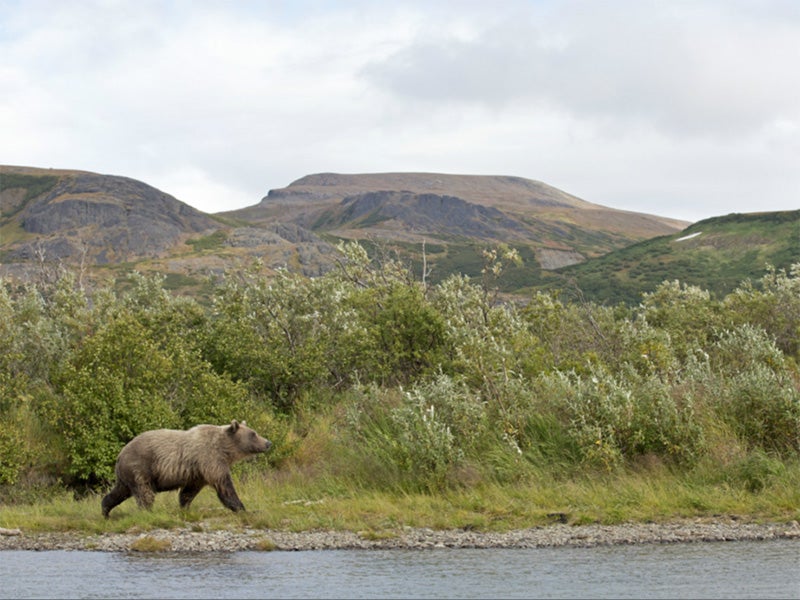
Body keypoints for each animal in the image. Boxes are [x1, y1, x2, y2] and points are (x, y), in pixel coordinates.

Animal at [101, 420, 272, 516]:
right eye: (253, 434)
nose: (268, 442)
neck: (225, 449)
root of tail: (120, 455)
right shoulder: (210, 459)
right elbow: (225, 486)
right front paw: (243, 508)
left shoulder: (198, 472)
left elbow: (189, 491)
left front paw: (185, 507)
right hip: (140, 467)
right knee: (144, 493)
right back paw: (148, 512)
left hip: (126, 476)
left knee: (119, 492)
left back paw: (105, 510)